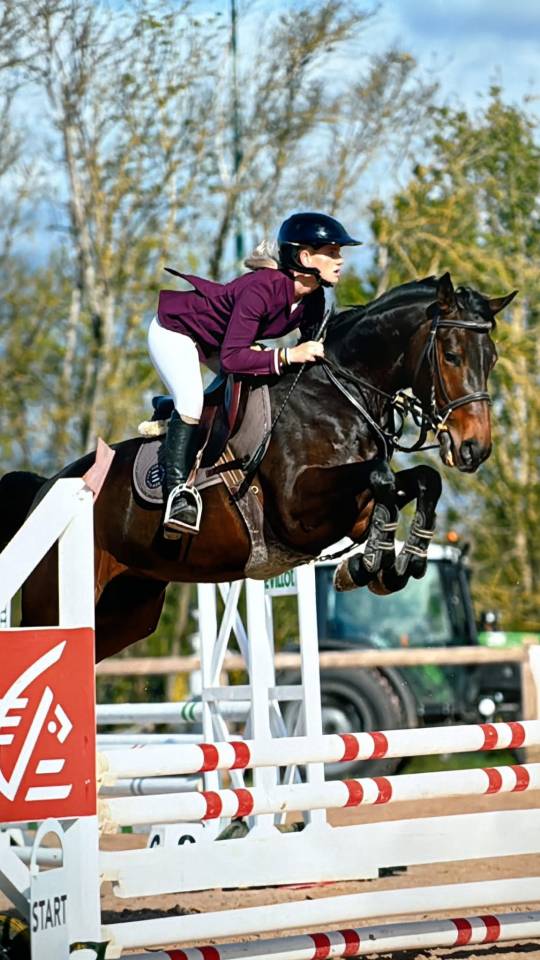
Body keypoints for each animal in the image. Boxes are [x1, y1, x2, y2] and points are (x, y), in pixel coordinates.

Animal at [0, 273, 515, 662]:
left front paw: (393, 562)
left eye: (491, 359)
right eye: (451, 355)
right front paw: (372, 562)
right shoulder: (299, 513)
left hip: (128, 609)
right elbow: (383, 478)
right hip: (56, 603)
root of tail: (46, 485)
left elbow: (419, 481)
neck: (340, 394)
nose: (474, 448)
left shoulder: (350, 509)